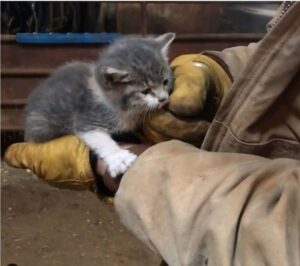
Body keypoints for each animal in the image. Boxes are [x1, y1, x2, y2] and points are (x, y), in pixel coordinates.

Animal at [26, 33, 176, 179]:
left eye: (165, 81)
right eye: (145, 91)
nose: (163, 99)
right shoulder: (87, 118)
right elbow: (100, 139)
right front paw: (119, 158)